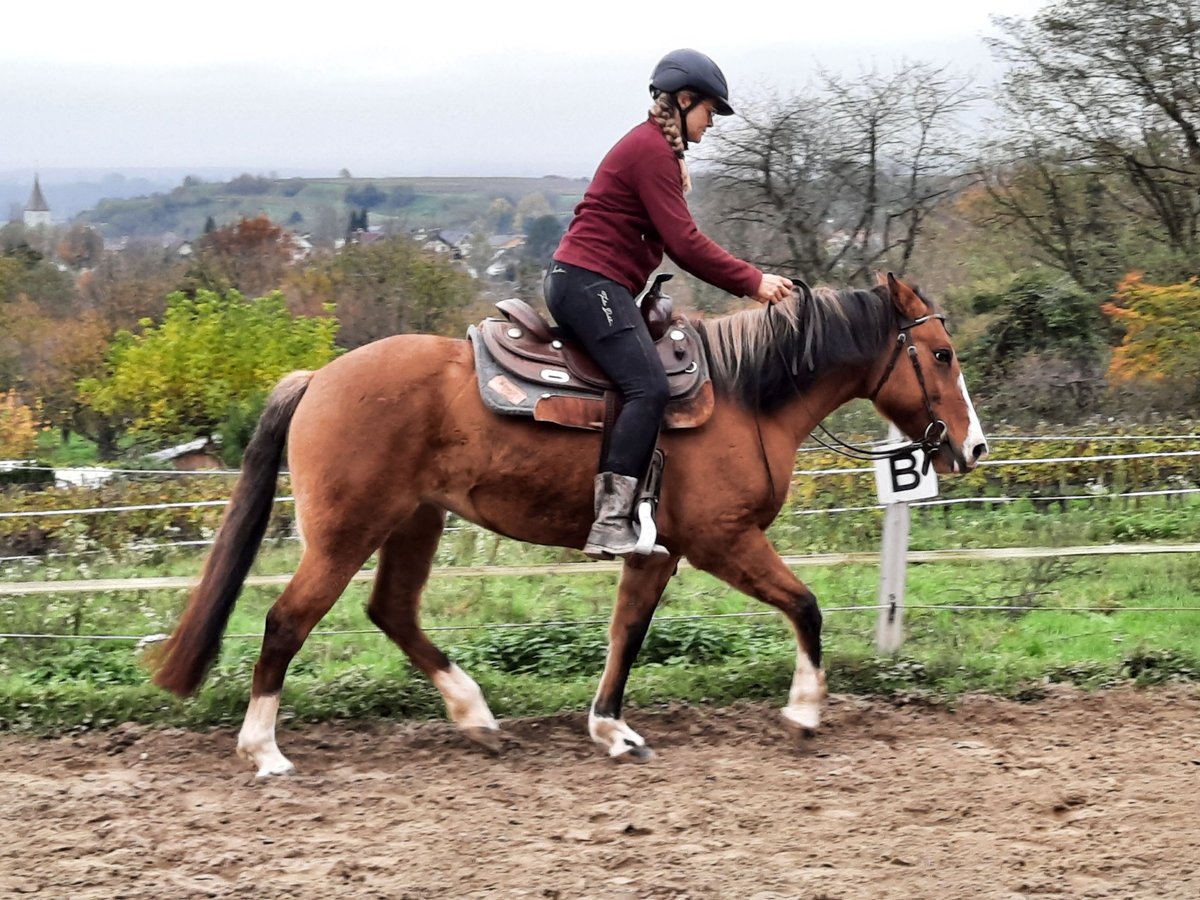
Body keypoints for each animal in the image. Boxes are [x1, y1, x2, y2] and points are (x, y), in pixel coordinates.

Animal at [154, 273, 988, 777]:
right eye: (942, 353)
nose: (974, 446)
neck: (747, 397)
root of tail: (319, 377)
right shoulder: (723, 541)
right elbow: (805, 606)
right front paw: (806, 709)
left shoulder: (658, 553)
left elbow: (627, 635)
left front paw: (611, 729)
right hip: (346, 533)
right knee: (286, 621)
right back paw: (263, 749)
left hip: (416, 521)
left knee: (391, 611)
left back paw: (475, 715)